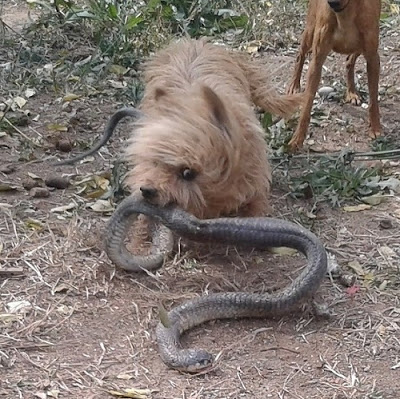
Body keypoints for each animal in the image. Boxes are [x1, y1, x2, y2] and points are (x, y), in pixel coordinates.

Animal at [286, 0, 382, 152]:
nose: (332, 3)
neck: (344, 13)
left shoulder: (373, 58)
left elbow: (373, 101)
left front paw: (375, 128)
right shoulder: (316, 62)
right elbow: (306, 107)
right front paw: (297, 139)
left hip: (360, 48)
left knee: (349, 61)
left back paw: (351, 92)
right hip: (310, 31)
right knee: (299, 55)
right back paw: (294, 86)